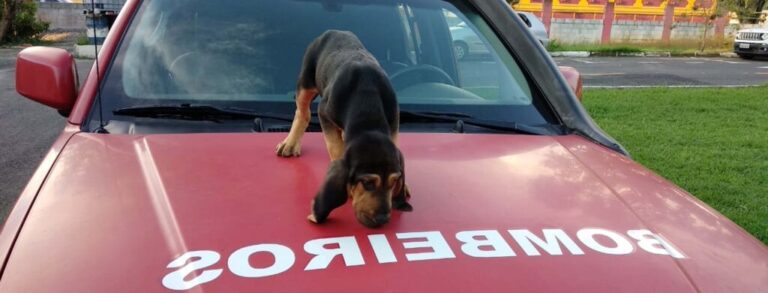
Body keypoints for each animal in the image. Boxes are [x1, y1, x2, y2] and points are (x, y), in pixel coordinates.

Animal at [274, 29, 412, 227]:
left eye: (393, 182)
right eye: (367, 183)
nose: (382, 219)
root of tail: (334, 31)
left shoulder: (394, 120)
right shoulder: (324, 112)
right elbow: (335, 147)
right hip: (306, 82)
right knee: (302, 112)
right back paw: (291, 143)